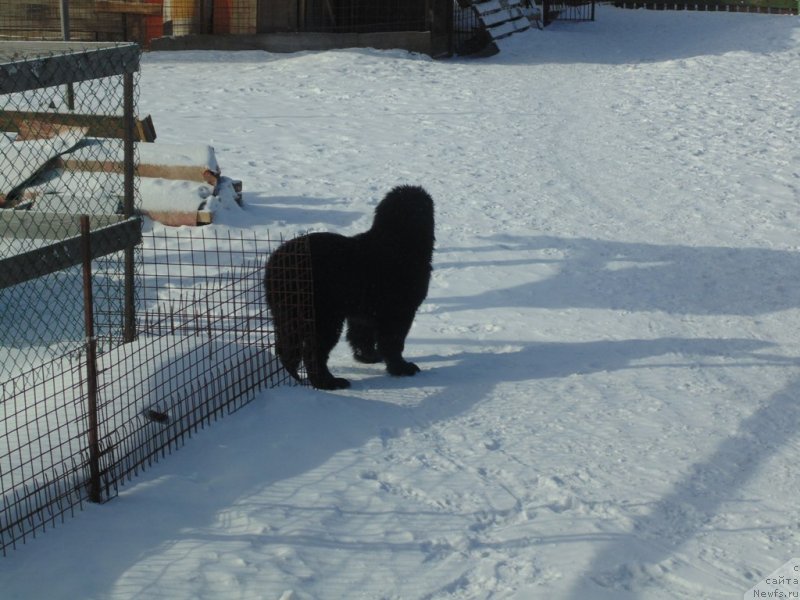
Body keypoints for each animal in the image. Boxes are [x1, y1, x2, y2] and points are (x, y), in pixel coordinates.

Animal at [266, 186, 434, 390]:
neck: (396, 244)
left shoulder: (364, 311)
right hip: (322, 315)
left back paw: (294, 379)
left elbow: (361, 335)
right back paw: (328, 382)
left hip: (285, 312)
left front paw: (368, 357)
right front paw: (401, 368)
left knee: (287, 347)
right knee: (313, 351)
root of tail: (277, 264)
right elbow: (393, 341)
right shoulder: (399, 311)